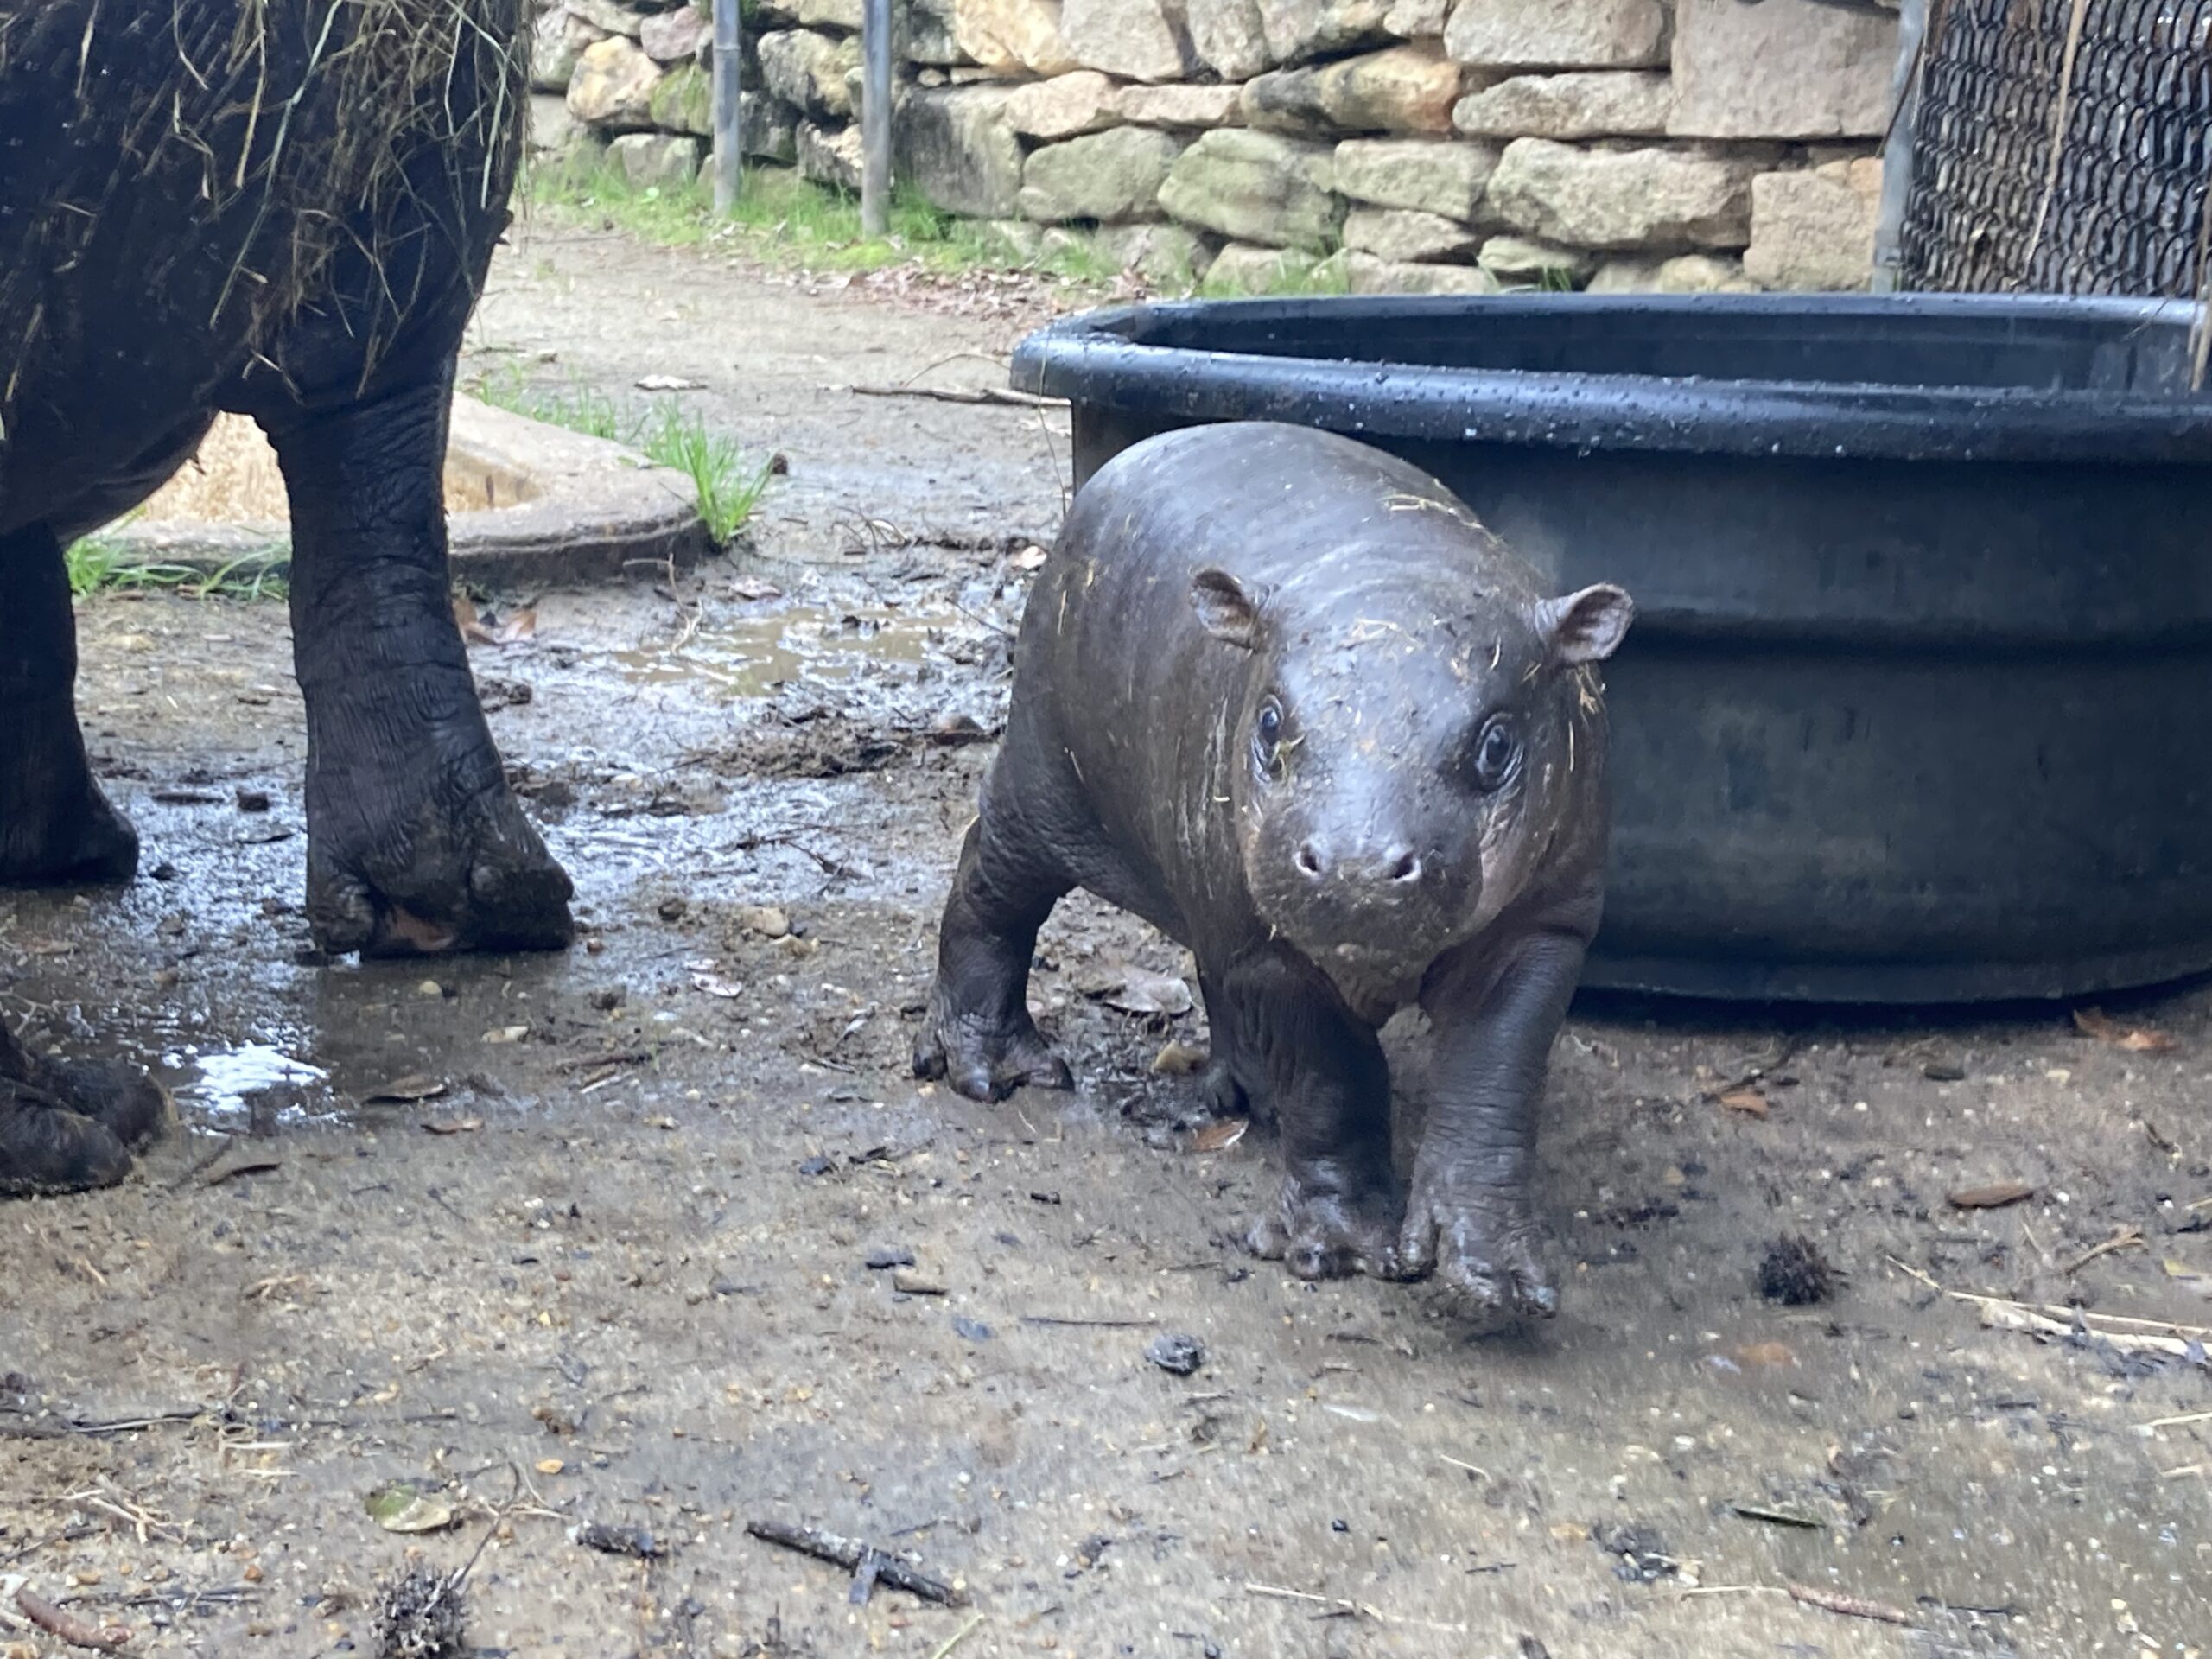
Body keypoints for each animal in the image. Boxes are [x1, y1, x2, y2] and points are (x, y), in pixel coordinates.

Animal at [915, 423, 1633, 1321]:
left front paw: (1494, 1278)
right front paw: (1334, 1251)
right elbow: (1332, 1079)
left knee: (1207, 965)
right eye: (1269, 722)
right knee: (991, 883)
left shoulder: (1547, 923)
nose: (1358, 866)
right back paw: (999, 1071)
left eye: (1498, 742)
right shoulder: (1269, 946)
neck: (1397, 576)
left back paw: (1240, 1098)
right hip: (1045, 778)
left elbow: (1494, 1077)